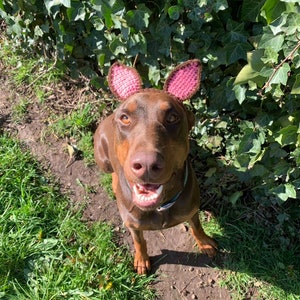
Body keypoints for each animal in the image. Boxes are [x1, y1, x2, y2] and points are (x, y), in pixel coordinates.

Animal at [93, 60, 216, 274]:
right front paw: (142, 260)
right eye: (125, 117)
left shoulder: (192, 210)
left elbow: (197, 226)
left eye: (173, 117)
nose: (147, 165)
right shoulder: (133, 224)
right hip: (102, 159)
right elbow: (139, 240)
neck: (159, 207)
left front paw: (205, 243)